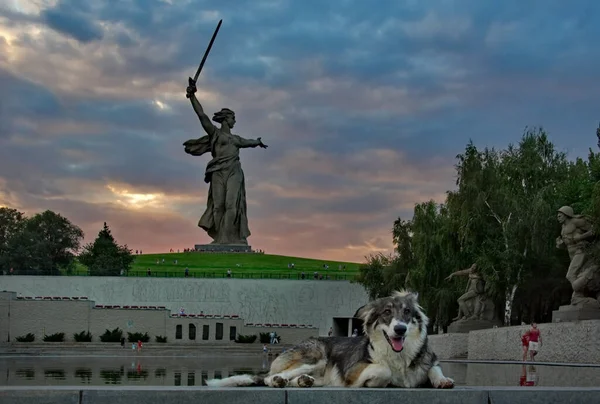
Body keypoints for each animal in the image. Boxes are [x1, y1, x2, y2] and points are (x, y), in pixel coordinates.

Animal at [206, 290, 454, 388]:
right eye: (386, 313)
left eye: (407, 313)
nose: (400, 330)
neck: (400, 357)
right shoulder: (355, 369)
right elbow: (382, 370)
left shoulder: (429, 360)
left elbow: (434, 368)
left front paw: (442, 380)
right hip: (316, 357)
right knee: (270, 376)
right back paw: (278, 381)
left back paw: (303, 381)